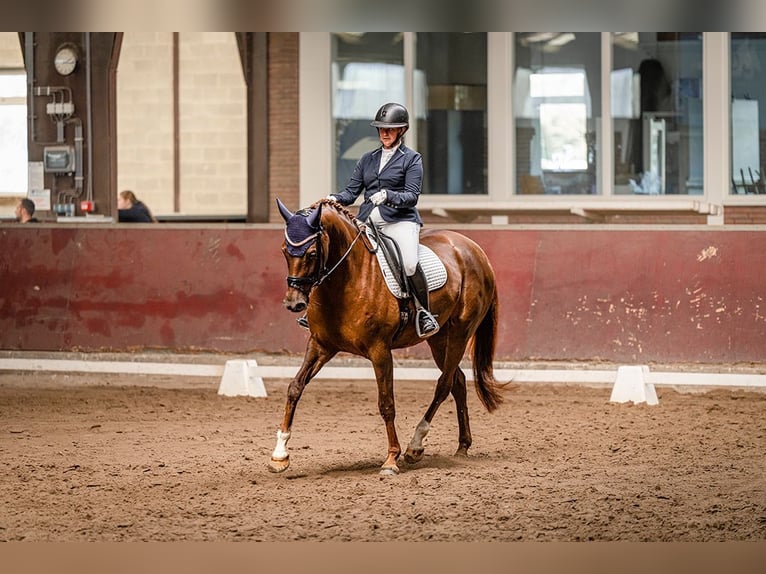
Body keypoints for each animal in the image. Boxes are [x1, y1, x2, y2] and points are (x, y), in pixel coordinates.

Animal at [270, 199, 504, 476]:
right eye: (285, 251)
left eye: (312, 253)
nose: (293, 303)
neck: (347, 279)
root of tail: (475, 251)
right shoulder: (321, 345)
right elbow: (295, 388)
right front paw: (280, 454)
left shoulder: (379, 350)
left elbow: (386, 403)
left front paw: (392, 459)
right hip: (439, 339)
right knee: (457, 380)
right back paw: (462, 446)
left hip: (460, 332)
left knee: (444, 384)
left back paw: (415, 446)